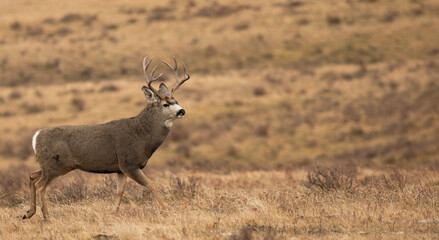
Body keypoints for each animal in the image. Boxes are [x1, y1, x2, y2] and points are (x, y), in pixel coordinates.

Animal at [22, 56, 190, 219]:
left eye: (176, 101)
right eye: (165, 104)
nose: (182, 111)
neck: (142, 135)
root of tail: (36, 137)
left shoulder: (120, 168)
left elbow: (119, 191)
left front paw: (113, 213)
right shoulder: (129, 163)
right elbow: (151, 184)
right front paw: (166, 211)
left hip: (51, 165)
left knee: (32, 176)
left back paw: (28, 213)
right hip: (56, 165)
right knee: (40, 185)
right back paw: (45, 216)